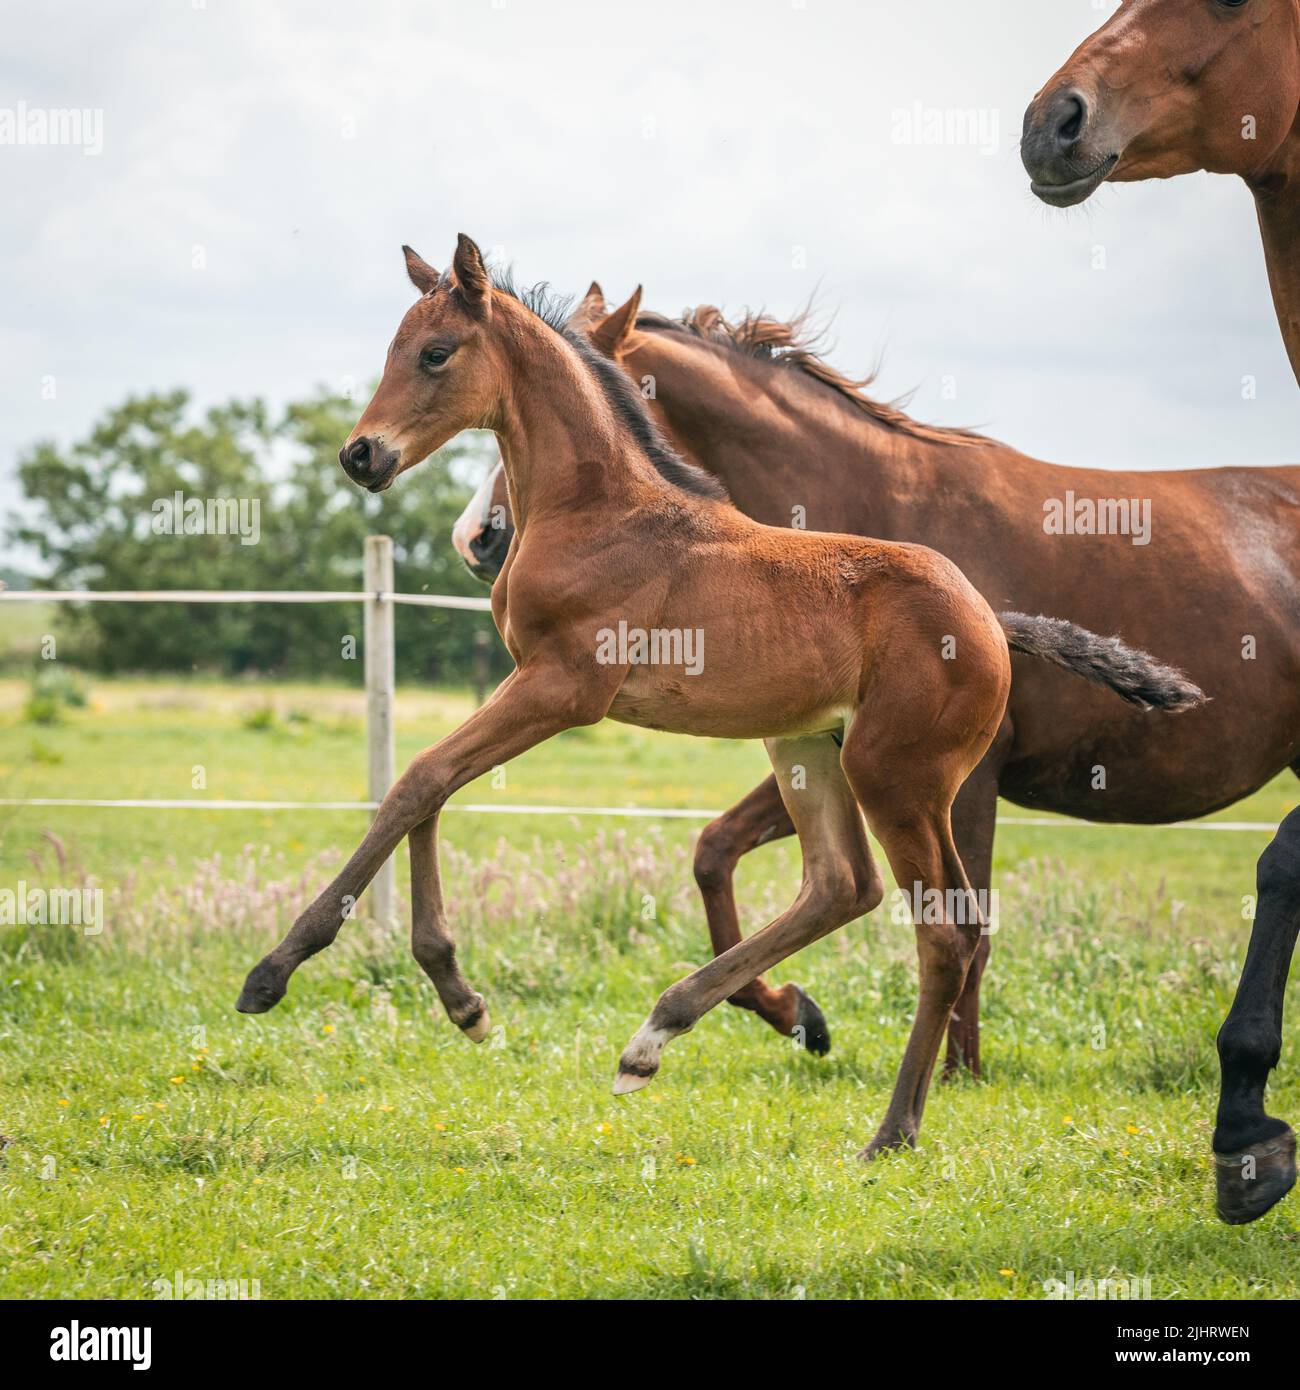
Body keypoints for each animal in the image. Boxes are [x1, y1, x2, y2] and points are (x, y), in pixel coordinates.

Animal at [236, 236, 1202, 1159]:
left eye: (435, 353)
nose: (361, 455)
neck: (599, 509)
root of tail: (993, 623)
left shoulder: (563, 687)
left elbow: (419, 781)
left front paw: (277, 971)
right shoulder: (535, 686)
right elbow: (428, 787)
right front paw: (460, 996)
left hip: (899, 776)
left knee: (946, 933)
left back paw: (889, 1132)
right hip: (810, 749)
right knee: (842, 885)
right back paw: (661, 1036)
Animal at [452, 283, 1300, 1089]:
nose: (479, 540)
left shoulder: (958, 781)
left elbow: (969, 926)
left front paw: (956, 1077)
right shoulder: (836, 743)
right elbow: (717, 851)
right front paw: (798, 1015)